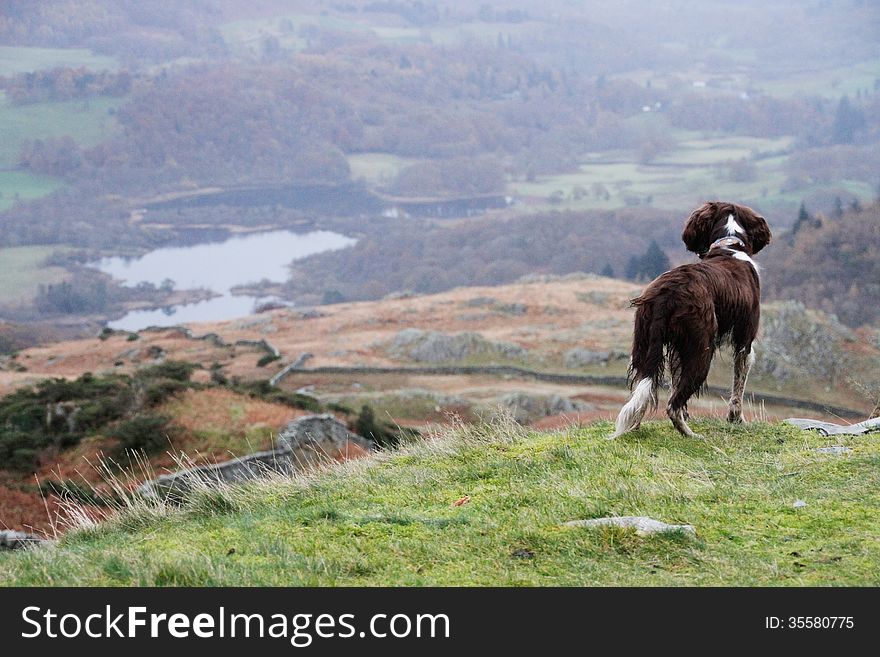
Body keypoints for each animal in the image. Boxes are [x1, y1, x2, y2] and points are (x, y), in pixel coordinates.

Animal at [612, 199, 768, 436]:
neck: (729, 246)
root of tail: (667, 294)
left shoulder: (678, 349)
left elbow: (674, 381)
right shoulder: (744, 340)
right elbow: (738, 387)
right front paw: (737, 419)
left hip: (644, 345)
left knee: (643, 393)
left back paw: (634, 428)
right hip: (702, 350)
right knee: (672, 405)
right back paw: (691, 435)